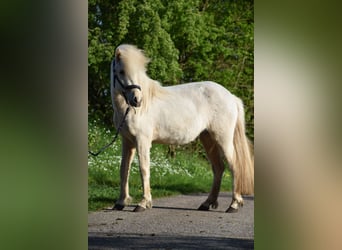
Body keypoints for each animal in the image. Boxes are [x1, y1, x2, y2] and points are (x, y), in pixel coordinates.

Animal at [111, 44, 252, 212]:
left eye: (138, 72)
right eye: (121, 71)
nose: (137, 100)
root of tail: (231, 97)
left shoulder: (142, 141)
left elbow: (143, 169)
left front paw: (143, 203)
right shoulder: (127, 142)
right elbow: (123, 170)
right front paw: (121, 202)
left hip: (223, 140)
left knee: (234, 167)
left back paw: (234, 204)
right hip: (208, 139)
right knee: (218, 168)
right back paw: (207, 203)